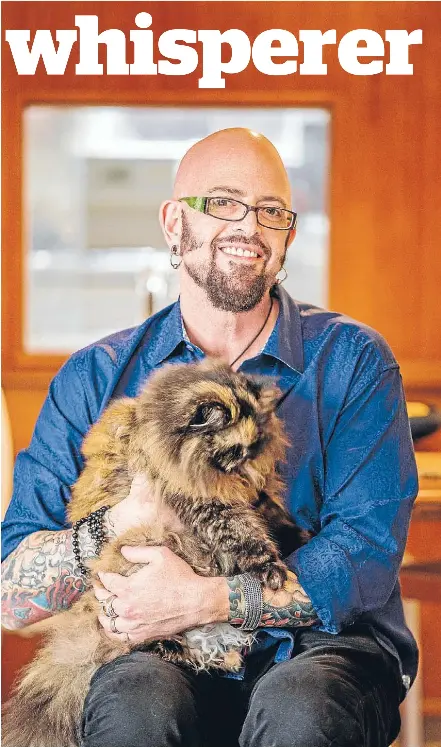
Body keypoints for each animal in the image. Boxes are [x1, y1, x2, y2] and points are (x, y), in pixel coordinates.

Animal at [2, 360, 310, 744]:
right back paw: (173, 649)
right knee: (141, 644)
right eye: (234, 451)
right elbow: (245, 536)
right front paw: (273, 568)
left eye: (252, 449)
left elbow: (270, 511)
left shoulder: (250, 497)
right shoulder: (206, 503)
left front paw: (296, 533)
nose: (243, 467)